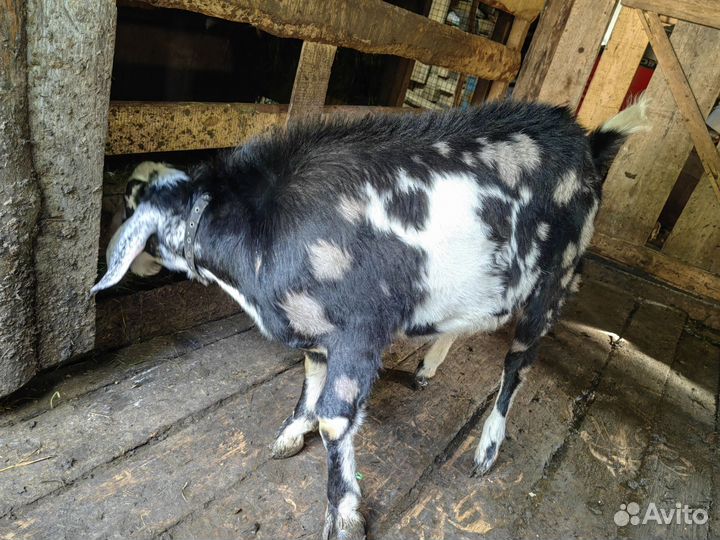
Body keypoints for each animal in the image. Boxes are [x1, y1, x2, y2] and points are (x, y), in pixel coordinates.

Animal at [93, 98, 647, 539]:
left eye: (128, 202)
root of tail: (591, 143)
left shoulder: (359, 332)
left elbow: (335, 420)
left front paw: (344, 518)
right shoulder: (317, 334)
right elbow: (309, 383)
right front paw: (290, 435)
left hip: (554, 282)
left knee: (518, 366)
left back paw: (486, 450)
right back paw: (426, 370)